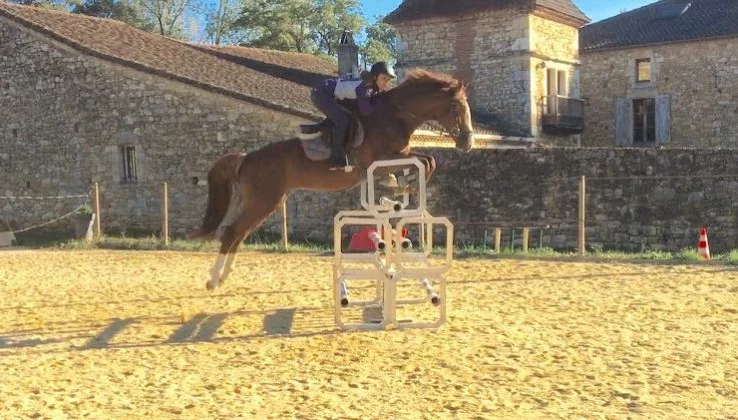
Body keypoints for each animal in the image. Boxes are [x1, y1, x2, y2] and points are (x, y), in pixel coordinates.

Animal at [189, 68, 475, 290]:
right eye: (455, 107)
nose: (467, 143)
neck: (395, 115)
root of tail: (246, 158)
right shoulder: (379, 160)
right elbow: (423, 162)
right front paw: (400, 186)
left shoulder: (401, 154)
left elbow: (428, 160)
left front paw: (400, 185)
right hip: (263, 201)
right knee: (231, 232)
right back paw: (213, 280)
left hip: (268, 202)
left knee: (239, 234)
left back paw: (223, 277)